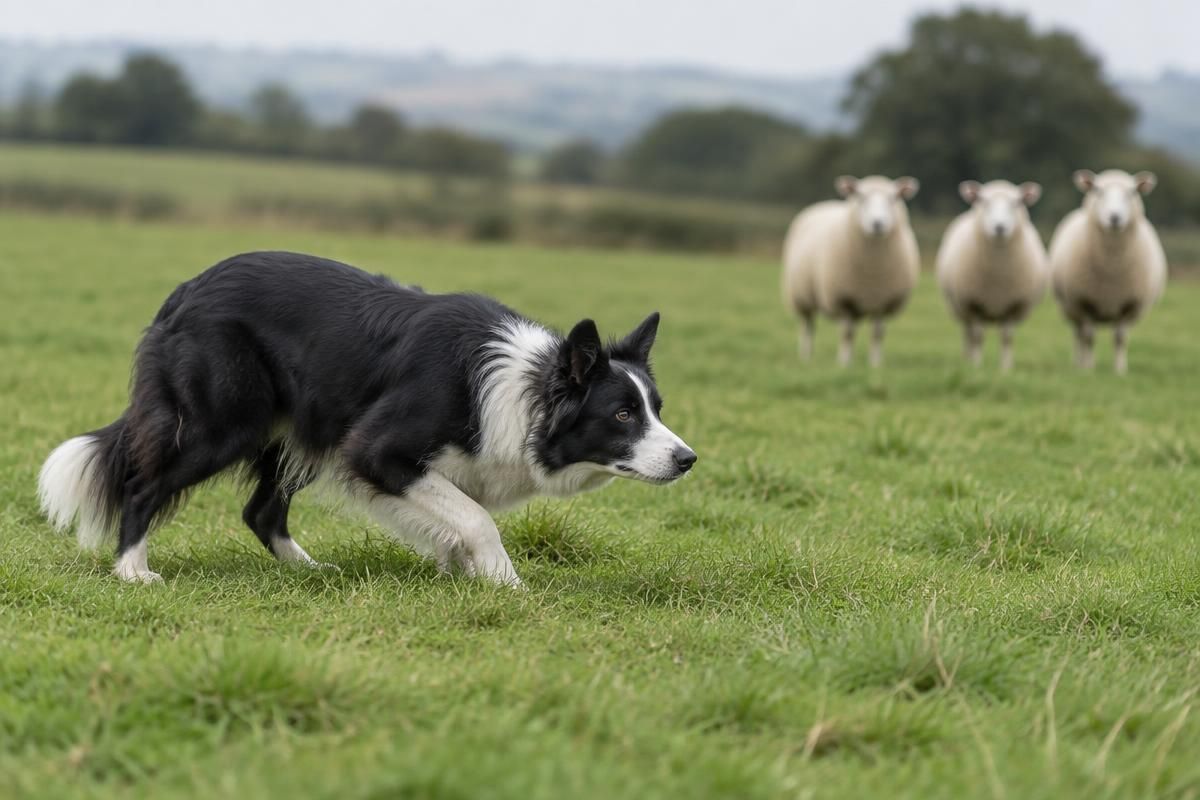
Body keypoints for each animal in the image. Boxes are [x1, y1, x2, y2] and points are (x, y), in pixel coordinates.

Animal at [781, 175, 921, 368]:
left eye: (894, 198)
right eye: (861, 197)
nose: (877, 223)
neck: (872, 272)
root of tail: (824, 203)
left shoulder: (882, 302)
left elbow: (877, 334)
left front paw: (875, 365)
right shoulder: (844, 300)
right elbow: (847, 333)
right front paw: (845, 364)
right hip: (801, 297)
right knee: (808, 327)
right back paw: (806, 357)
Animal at [935, 180, 1049, 371]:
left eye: (1016, 203)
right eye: (984, 202)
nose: (1000, 227)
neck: (997, 278)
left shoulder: (1013, 305)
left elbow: (1007, 337)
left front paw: (1005, 369)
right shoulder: (973, 304)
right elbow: (978, 336)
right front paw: (976, 367)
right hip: (960, 307)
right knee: (968, 334)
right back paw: (967, 360)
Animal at [1048, 169, 1167, 375]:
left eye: (1132, 192)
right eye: (1098, 191)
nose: (1115, 217)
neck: (1112, 267)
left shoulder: (1129, 305)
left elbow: (1120, 338)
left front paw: (1119, 370)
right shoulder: (1084, 302)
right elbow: (1089, 337)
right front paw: (1088, 369)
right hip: (1070, 308)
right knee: (1078, 334)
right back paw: (1078, 363)